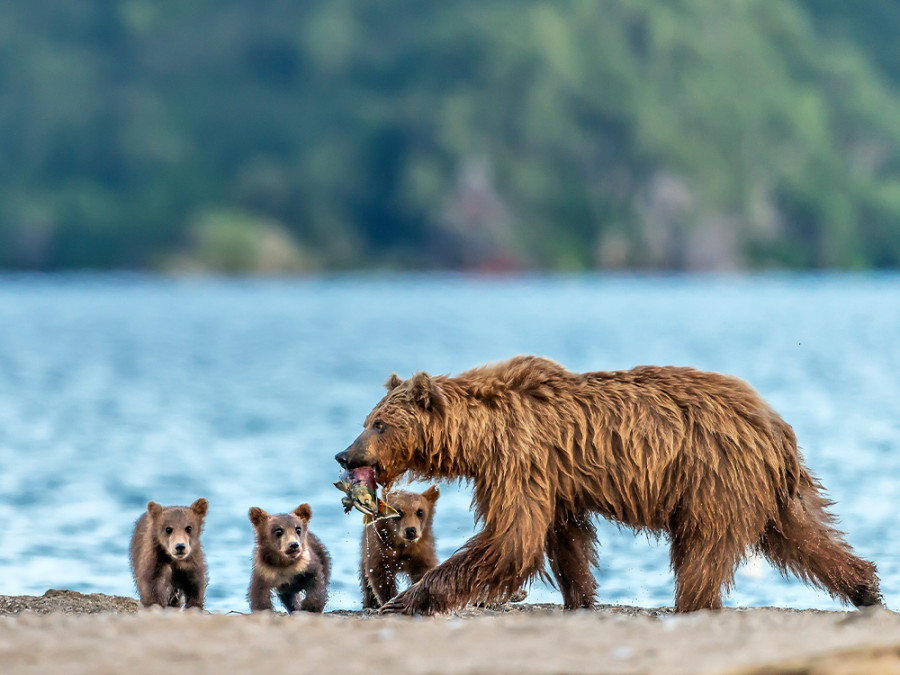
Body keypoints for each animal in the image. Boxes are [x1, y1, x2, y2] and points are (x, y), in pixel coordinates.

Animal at [336, 356, 880, 616]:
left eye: (379, 425)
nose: (345, 455)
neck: (481, 435)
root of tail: (776, 427)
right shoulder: (555, 480)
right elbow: (565, 538)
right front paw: (580, 596)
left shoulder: (522, 461)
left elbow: (512, 538)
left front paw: (409, 599)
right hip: (769, 489)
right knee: (804, 536)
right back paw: (866, 587)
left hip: (713, 476)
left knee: (703, 549)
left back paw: (691, 602)